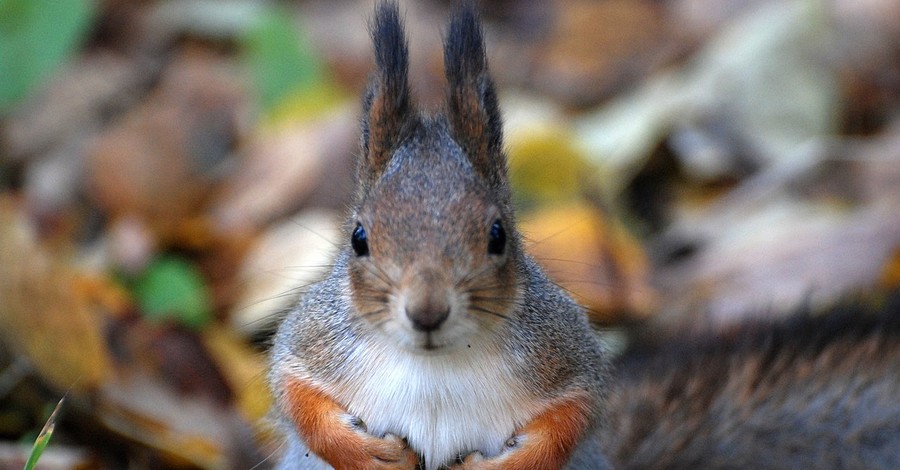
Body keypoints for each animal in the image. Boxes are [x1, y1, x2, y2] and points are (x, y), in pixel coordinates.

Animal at [266, 2, 604, 470]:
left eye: (497, 235)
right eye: (358, 238)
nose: (427, 312)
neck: (434, 366)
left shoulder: (562, 352)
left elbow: (574, 414)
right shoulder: (315, 340)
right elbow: (294, 391)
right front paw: (368, 454)